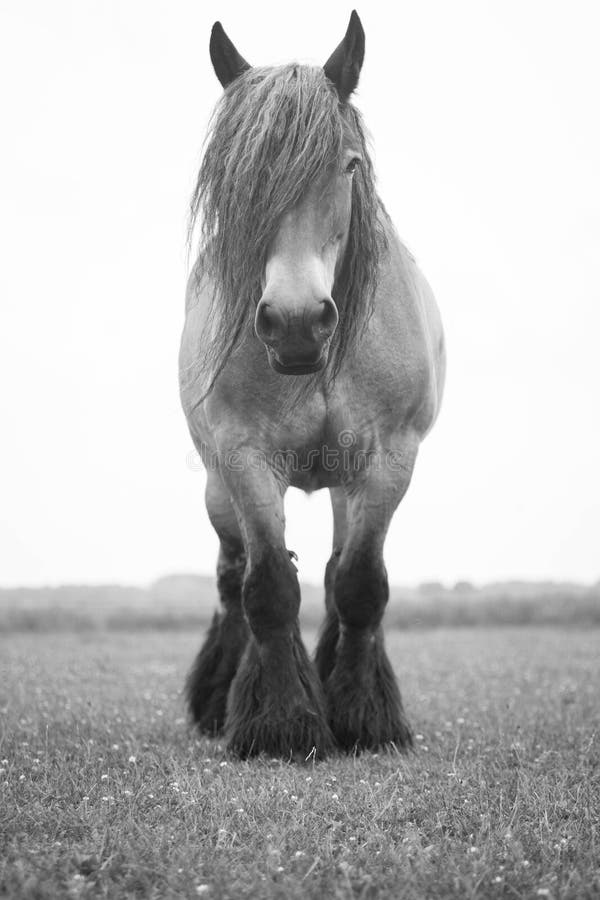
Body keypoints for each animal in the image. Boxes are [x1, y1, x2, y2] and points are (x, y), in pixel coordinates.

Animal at [178, 12, 446, 760]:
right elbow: (267, 588)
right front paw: (281, 724)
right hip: (217, 487)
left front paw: (363, 717)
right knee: (231, 576)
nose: (296, 323)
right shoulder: (244, 459)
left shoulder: (389, 459)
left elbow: (358, 585)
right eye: (236, 176)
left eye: (348, 165)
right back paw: (221, 698)